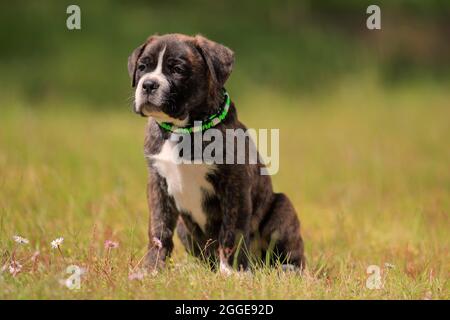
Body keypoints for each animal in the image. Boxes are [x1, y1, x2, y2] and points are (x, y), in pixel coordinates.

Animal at [127, 33, 306, 272]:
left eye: (177, 69)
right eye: (142, 67)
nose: (148, 84)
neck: (183, 128)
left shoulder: (234, 184)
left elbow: (231, 232)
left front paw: (233, 272)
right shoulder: (158, 184)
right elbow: (158, 230)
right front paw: (151, 269)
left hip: (282, 208)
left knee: (289, 255)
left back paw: (287, 270)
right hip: (184, 228)